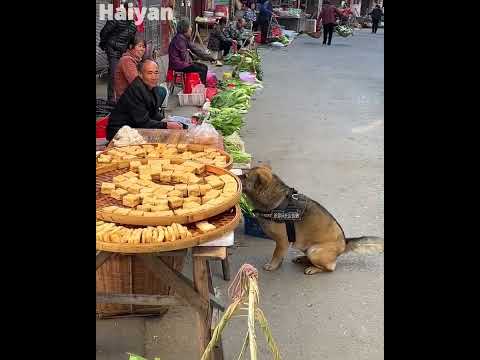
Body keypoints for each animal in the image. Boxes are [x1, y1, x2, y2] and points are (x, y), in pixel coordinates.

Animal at [240, 166, 382, 276]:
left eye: (245, 176)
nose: (236, 175)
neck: (277, 200)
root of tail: (344, 244)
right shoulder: (282, 243)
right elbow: (279, 255)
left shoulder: (282, 241)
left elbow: (276, 255)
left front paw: (272, 265)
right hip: (306, 247)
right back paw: (303, 259)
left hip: (315, 251)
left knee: (330, 268)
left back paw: (313, 268)